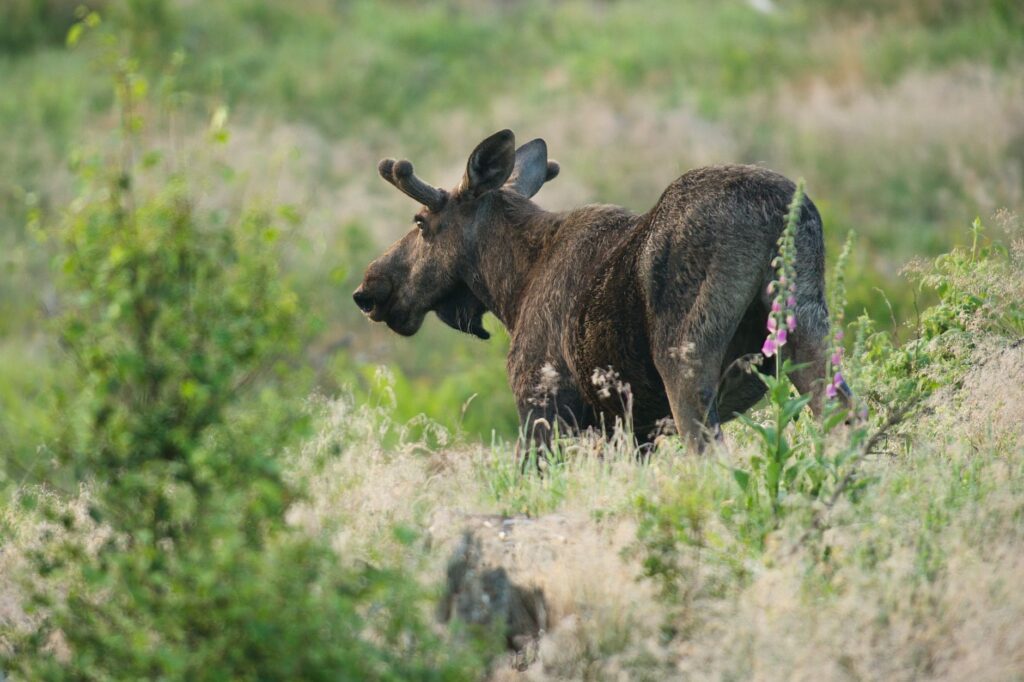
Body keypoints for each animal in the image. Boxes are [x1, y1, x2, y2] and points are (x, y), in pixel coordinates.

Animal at [353, 129, 852, 456]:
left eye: (421, 221)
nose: (369, 289)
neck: (511, 288)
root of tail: (780, 214)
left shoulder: (541, 405)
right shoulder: (631, 430)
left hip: (685, 360)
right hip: (810, 328)